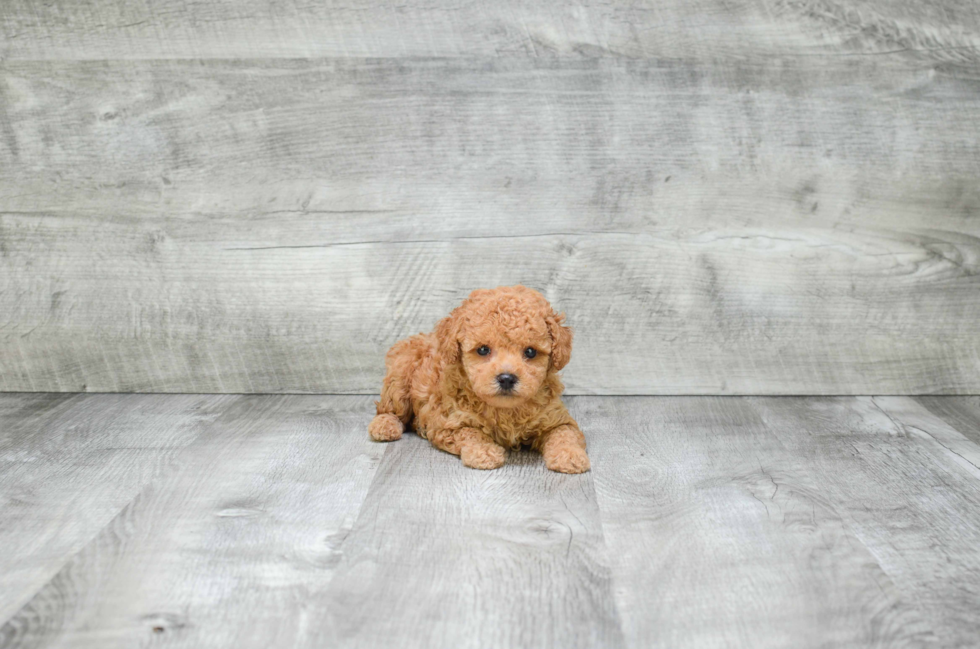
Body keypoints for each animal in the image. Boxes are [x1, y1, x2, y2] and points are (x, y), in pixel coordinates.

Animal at [368, 286, 588, 474]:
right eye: (483, 349)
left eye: (531, 352)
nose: (506, 378)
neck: (505, 409)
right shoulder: (449, 423)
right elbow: (471, 433)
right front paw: (484, 452)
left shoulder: (555, 418)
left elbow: (564, 433)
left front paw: (570, 455)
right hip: (401, 374)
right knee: (389, 409)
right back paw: (384, 426)